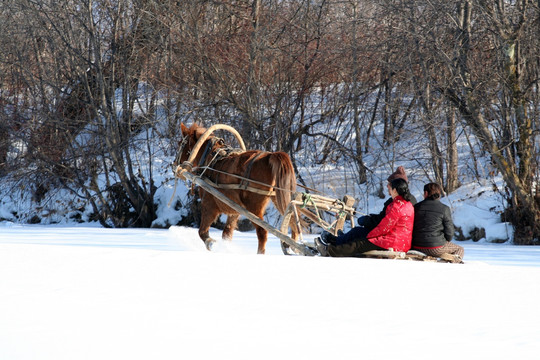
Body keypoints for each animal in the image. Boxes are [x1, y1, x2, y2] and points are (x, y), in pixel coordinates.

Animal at [173, 123, 300, 253]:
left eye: (181, 144)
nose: (174, 164)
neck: (210, 159)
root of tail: (270, 156)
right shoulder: (234, 211)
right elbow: (227, 234)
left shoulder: (209, 205)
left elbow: (202, 232)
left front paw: (212, 243)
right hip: (279, 198)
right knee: (293, 223)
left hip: (254, 206)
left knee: (262, 232)